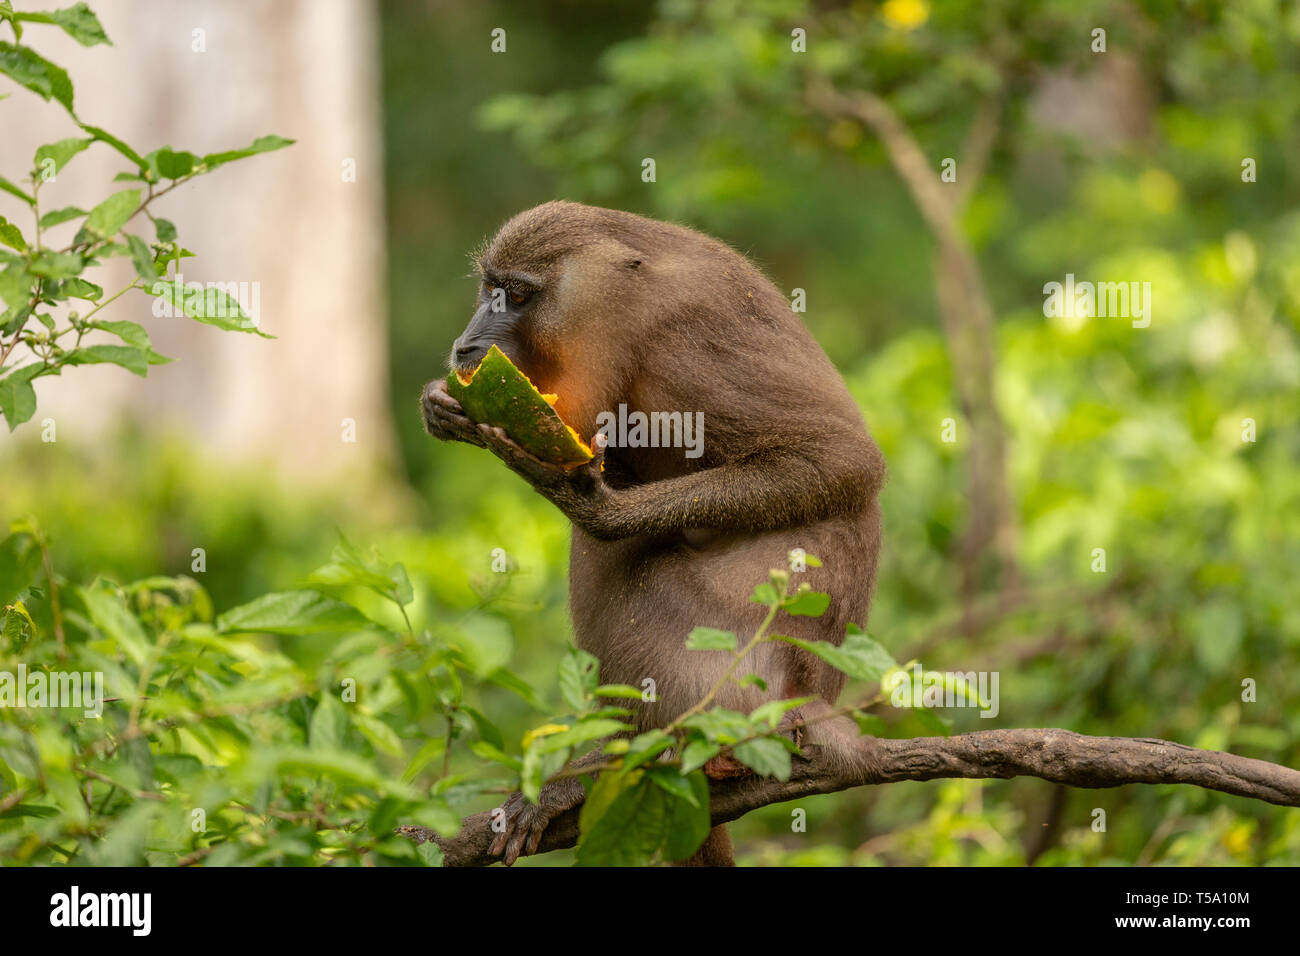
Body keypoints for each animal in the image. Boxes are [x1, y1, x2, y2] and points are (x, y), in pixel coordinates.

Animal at [421, 200, 889, 868]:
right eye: (491, 290)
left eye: (518, 296)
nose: (466, 345)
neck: (629, 296)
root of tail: (814, 701)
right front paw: (441, 404)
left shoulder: (683, 338)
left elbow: (842, 458)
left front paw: (590, 504)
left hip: (745, 661)